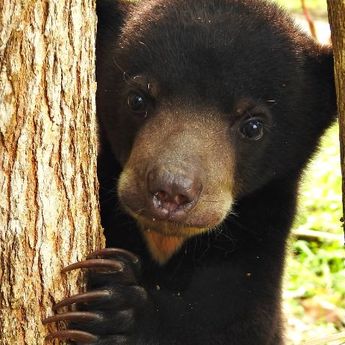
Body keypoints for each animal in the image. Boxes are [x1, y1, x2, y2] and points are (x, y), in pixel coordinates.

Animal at [43, 0, 336, 342]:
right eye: (137, 99)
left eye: (253, 126)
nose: (171, 190)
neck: (164, 242)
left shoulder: (254, 248)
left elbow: (234, 324)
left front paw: (113, 308)